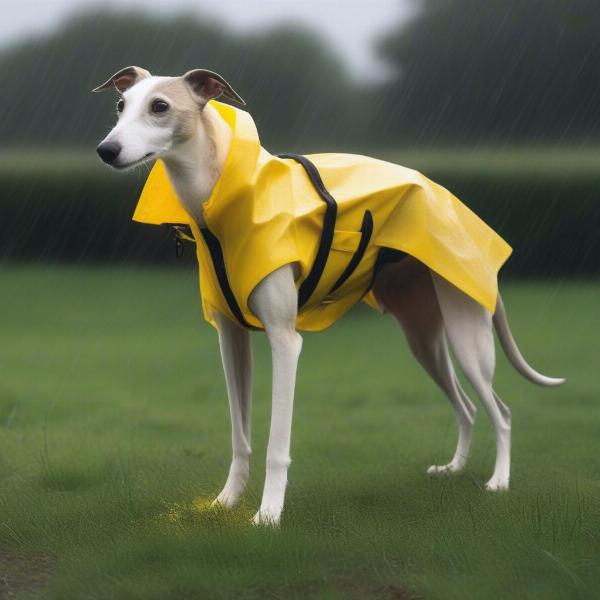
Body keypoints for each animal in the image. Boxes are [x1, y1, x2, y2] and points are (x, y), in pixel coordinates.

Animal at [91, 67, 564, 524]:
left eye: (160, 106)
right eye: (120, 105)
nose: (106, 150)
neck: (220, 197)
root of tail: (458, 207)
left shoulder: (285, 341)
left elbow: (276, 444)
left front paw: (268, 515)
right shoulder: (231, 339)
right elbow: (240, 437)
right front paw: (225, 503)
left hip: (468, 337)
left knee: (501, 412)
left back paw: (498, 482)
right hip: (422, 337)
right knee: (467, 407)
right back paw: (454, 469)